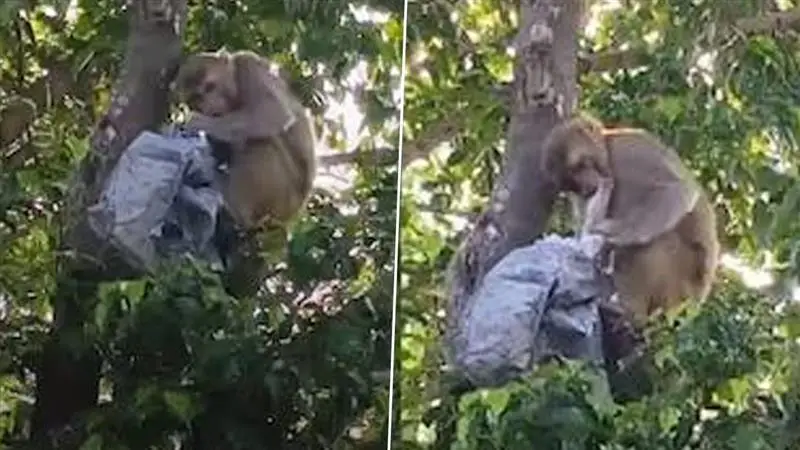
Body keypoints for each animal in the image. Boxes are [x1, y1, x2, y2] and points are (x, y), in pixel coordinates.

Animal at [173, 49, 317, 231]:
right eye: (196, 99)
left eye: (210, 87)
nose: (210, 106)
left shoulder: (248, 66)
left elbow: (273, 111)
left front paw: (199, 123)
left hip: (284, 200)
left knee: (260, 144)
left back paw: (237, 210)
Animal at [541, 115, 720, 327]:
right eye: (572, 182)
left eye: (579, 166)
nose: (587, 186)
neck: (609, 153)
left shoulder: (628, 149)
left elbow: (677, 190)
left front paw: (614, 238)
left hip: (680, 290)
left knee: (654, 243)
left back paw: (631, 311)